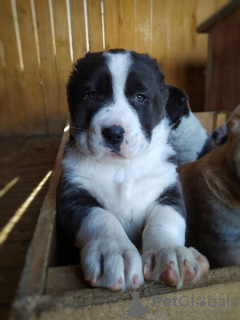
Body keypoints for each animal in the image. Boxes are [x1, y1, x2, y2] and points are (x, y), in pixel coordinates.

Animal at [56, 48, 208, 292]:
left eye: (140, 97)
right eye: (92, 95)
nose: (113, 133)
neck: (122, 167)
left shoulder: (168, 190)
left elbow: (164, 219)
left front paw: (169, 253)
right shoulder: (73, 194)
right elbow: (100, 216)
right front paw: (113, 252)